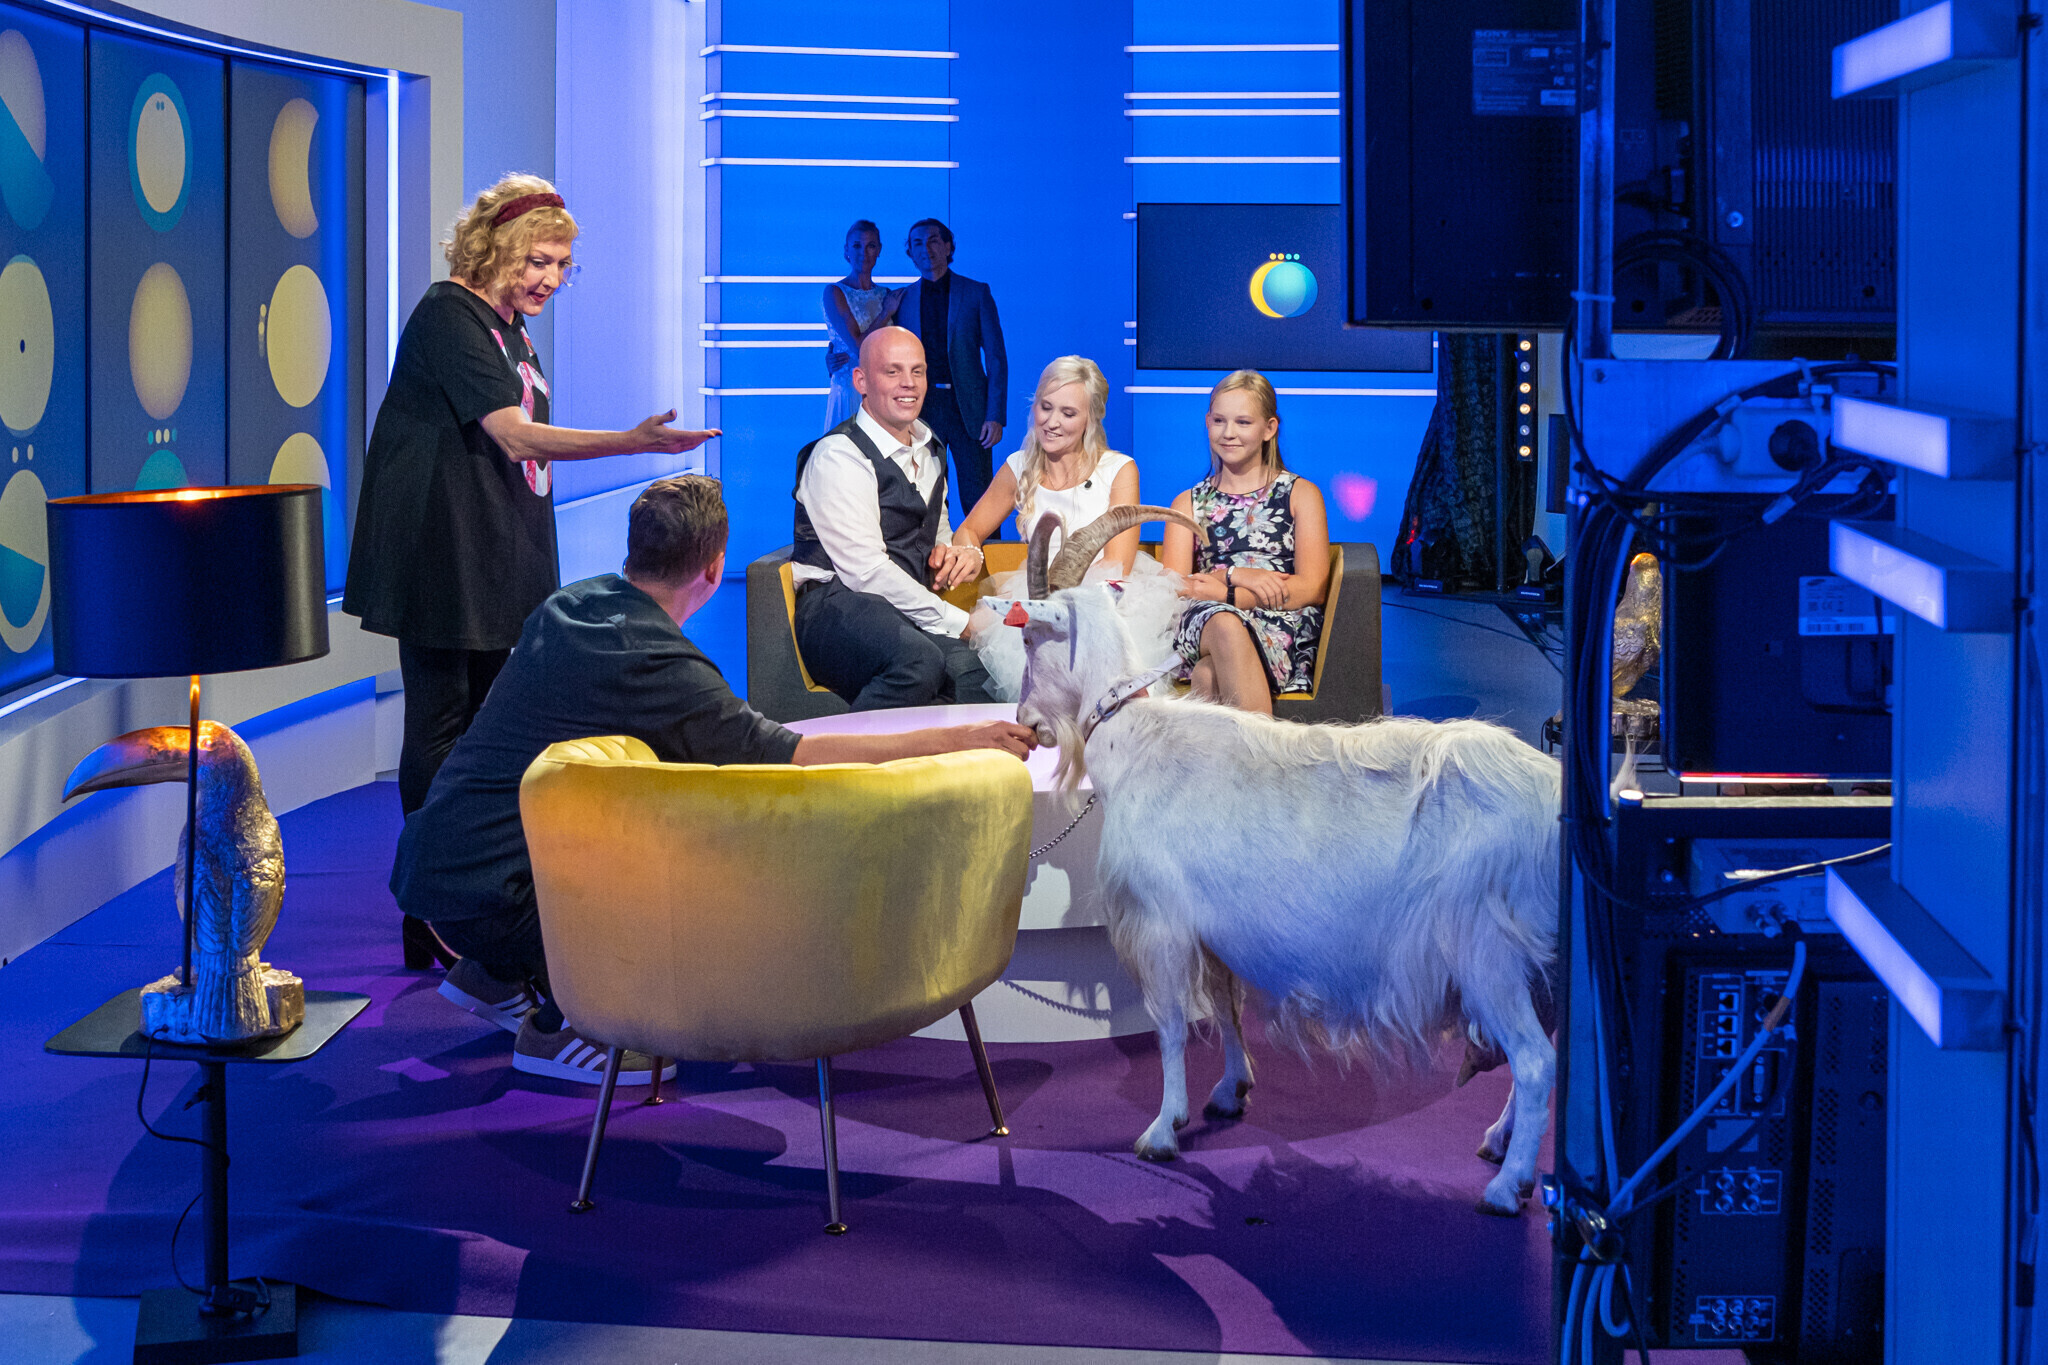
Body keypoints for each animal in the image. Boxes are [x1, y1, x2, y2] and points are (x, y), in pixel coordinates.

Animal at [996, 517, 1561, 1215]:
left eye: (1029, 639)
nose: (1027, 724)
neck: (1137, 738)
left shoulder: (1161, 922)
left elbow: (1170, 1025)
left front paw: (1162, 1130)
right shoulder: (1213, 928)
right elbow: (1225, 1006)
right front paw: (1231, 1090)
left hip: (1487, 951)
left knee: (1535, 1061)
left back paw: (1508, 1186)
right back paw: (1498, 1141)